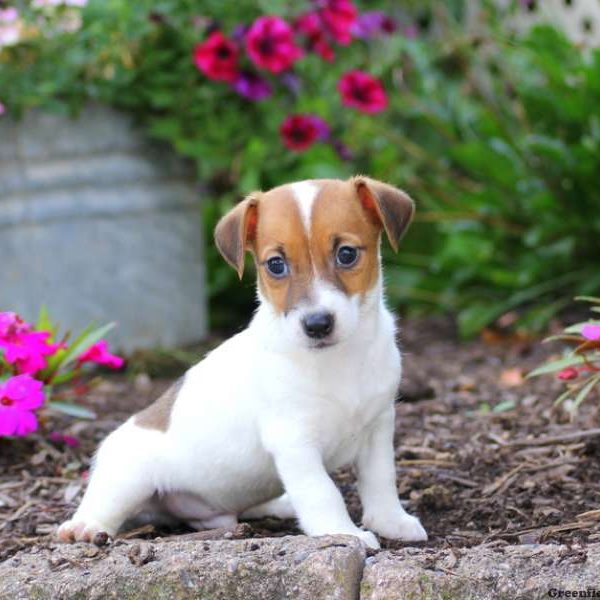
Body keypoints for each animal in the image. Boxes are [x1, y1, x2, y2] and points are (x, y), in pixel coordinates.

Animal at [57, 175, 426, 548]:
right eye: (276, 264)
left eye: (346, 254)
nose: (317, 324)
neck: (338, 360)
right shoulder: (294, 441)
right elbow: (322, 492)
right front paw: (343, 533)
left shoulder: (378, 427)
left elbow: (381, 480)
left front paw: (390, 522)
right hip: (128, 477)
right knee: (104, 502)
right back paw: (85, 525)